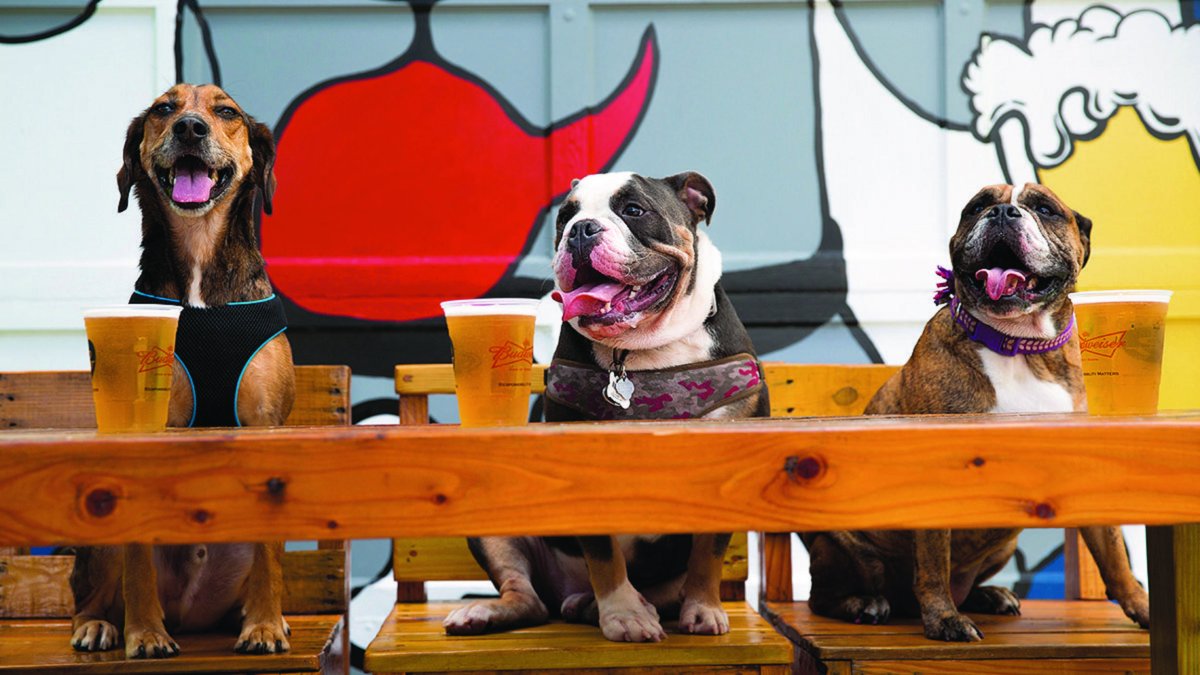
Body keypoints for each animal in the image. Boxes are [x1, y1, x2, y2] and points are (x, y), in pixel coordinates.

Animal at [69, 84, 296, 658]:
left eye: (226, 112)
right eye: (163, 109)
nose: (190, 127)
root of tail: (192, 613)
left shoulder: (266, 427)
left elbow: (269, 556)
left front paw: (264, 626)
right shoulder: (146, 429)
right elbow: (137, 563)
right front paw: (145, 634)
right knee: (92, 590)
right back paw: (101, 624)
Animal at [801, 182, 1147, 638]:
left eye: (1044, 209)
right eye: (977, 206)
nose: (1002, 212)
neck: (1019, 344)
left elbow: (1114, 555)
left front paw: (1143, 607)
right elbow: (932, 560)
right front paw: (944, 619)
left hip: (1002, 545)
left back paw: (989, 595)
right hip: (850, 549)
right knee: (824, 595)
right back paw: (866, 603)